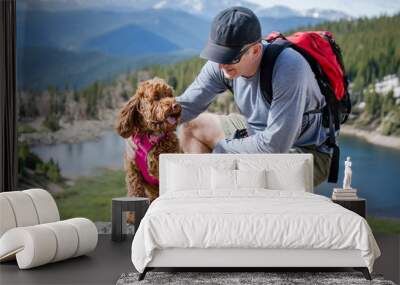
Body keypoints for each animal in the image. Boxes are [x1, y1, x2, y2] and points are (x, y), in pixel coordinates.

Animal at [115, 77, 182, 222]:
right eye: (156, 97)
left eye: (170, 95)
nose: (175, 105)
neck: (151, 136)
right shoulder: (133, 172)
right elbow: (135, 193)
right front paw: (132, 216)